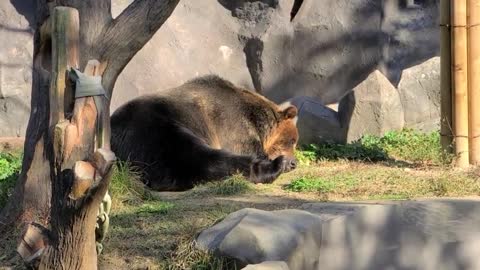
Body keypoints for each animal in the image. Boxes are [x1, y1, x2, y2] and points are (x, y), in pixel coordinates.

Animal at [110, 75, 298, 191]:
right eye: (292, 141)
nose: (294, 162)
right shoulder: (233, 123)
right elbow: (247, 148)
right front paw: (279, 161)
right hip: (157, 128)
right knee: (192, 158)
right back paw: (276, 166)